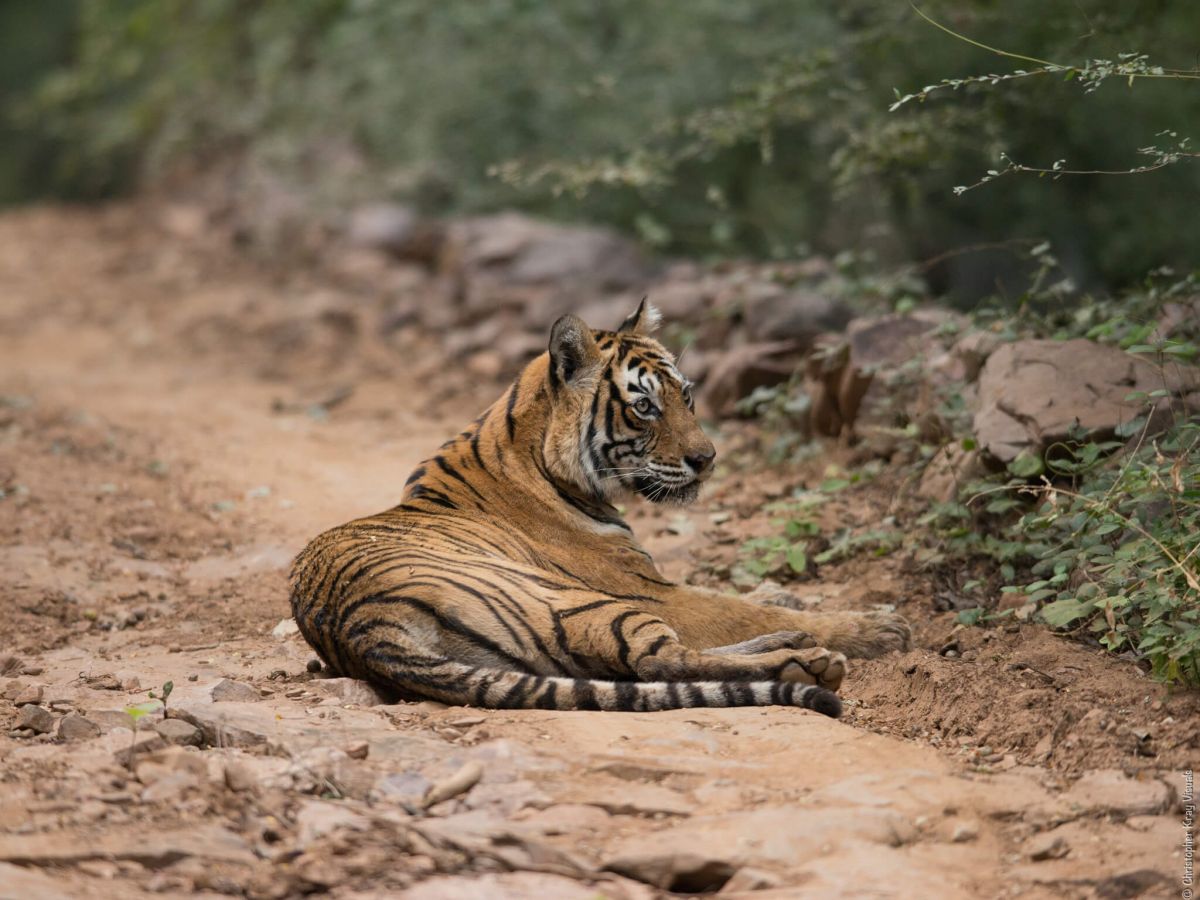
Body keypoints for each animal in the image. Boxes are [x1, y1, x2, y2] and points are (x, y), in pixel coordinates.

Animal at [290, 303, 907, 720]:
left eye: (686, 395)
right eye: (644, 406)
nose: (707, 459)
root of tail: (361, 629)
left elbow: (749, 602)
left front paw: (786, 597)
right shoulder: (648, 590)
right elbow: (735, 608)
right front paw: (881, 626)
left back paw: (791, 644)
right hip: (583, 604)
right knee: (661, 661)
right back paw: (805, 659)